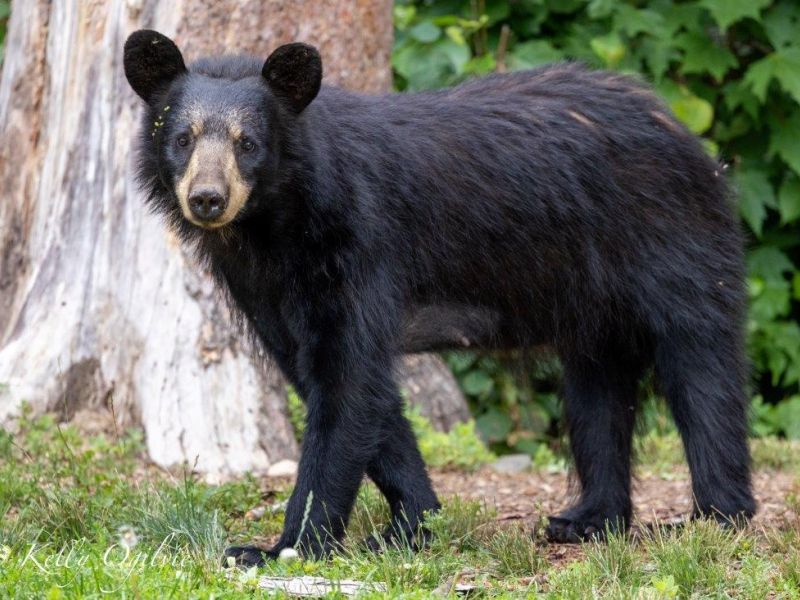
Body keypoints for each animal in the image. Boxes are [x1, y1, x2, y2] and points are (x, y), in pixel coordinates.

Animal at [123, 30, 755, 566]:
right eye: (181, 138)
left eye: (247, 144)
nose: (207, 199)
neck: (274, 225)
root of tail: (686, 134)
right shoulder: (267, 289)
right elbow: (347, 389)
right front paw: (414, 524)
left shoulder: (358, 246)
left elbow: (348, 382)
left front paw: (282, 548)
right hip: (591, 300)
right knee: (596, 394)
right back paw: (589, 519)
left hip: (672, 244)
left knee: (703, 373)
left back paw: (714, 518)